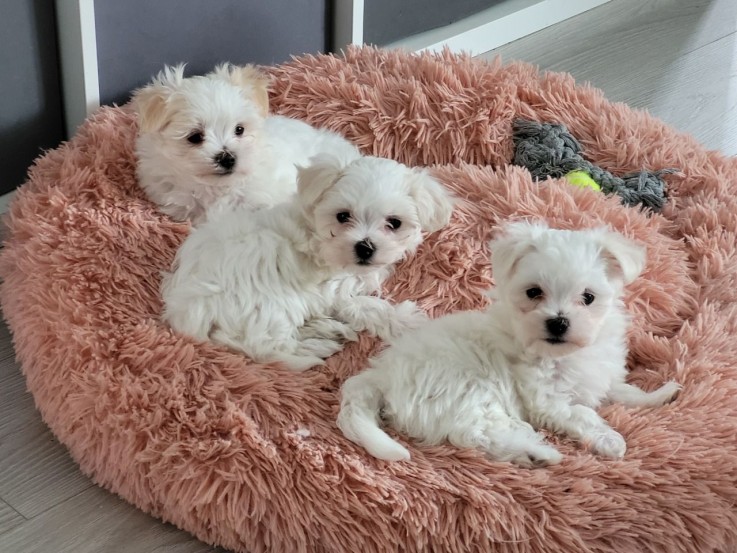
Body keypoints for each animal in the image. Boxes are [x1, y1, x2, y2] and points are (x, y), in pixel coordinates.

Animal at [160, 153, 454, 368]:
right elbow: (366, 306)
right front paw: (407, 321)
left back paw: (324, 328)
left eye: (394, 223)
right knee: (267, 346)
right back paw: (316, 344)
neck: (318, 236)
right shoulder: (334, 287)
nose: (365, 247)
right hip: (267, 303)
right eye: (342, 216)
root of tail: (184, 311)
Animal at [338, 220, 680, 466]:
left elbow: (624, 392)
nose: (558, 322)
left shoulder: (599, 375)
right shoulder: (546, 399)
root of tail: (381, 373)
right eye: (533, 292)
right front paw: (610, 439)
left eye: (588, 297)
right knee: (481, 432)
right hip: (464, 390)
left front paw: (661, 394)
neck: (560, 354)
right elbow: (582, 415)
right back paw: (538, 453)